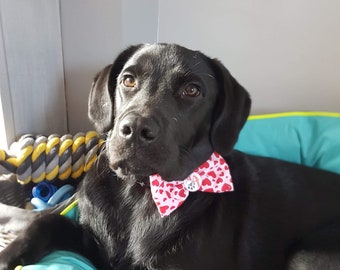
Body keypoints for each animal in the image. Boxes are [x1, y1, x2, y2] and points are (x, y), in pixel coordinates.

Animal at [0, 43, 340, 268]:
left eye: (192, 90)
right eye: (128, 79)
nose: (135, 129)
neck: (138, 194)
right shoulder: (94, 245)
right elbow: (47, 221)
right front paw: (9, 254)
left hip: (307, 255)